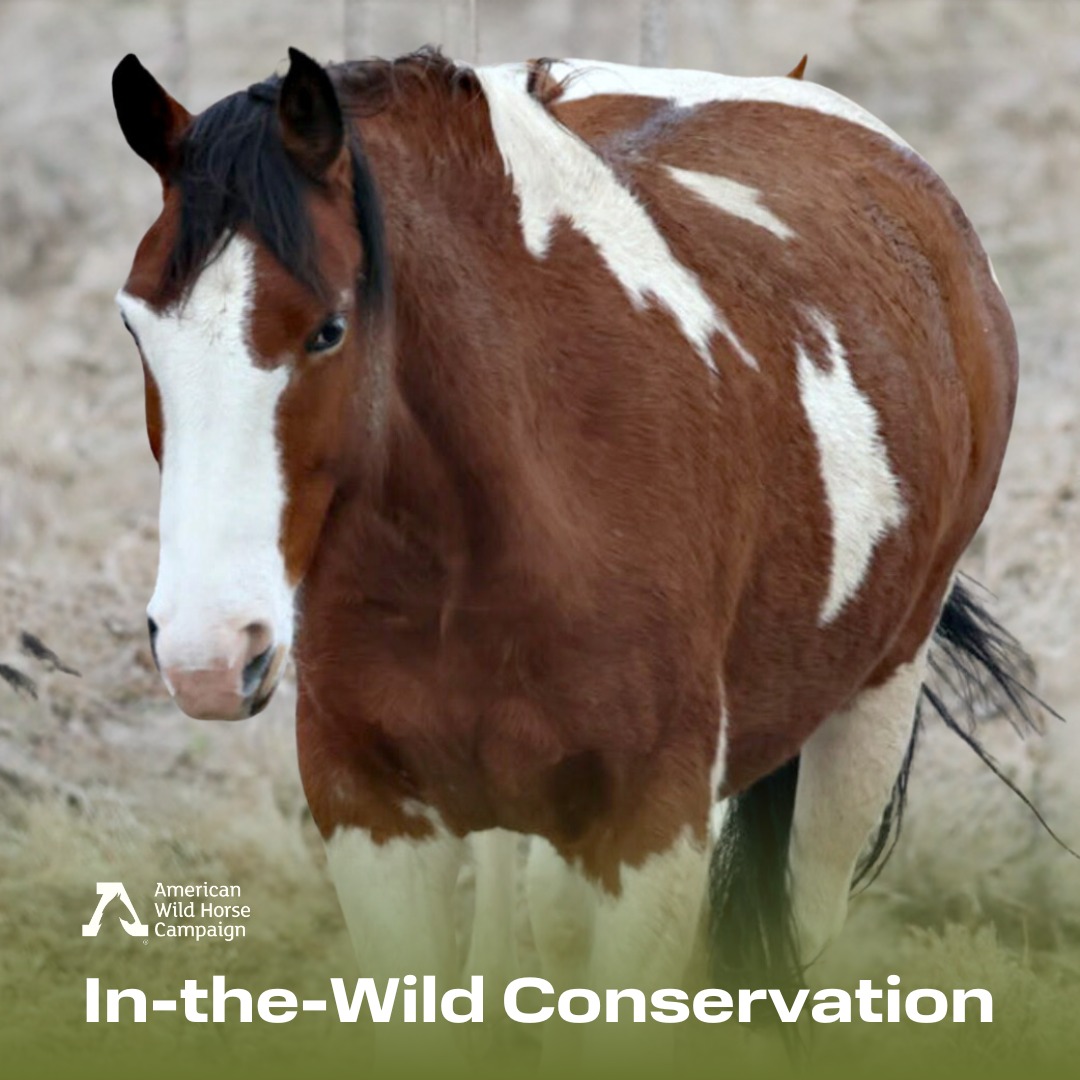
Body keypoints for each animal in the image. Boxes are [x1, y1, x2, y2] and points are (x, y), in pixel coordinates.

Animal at [110, 44, 1028, 1037]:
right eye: (136, 327)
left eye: (327, 329)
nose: (207, 653)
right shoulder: (378, 820)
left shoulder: (652, 835)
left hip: (876, 693)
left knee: (810, 909)